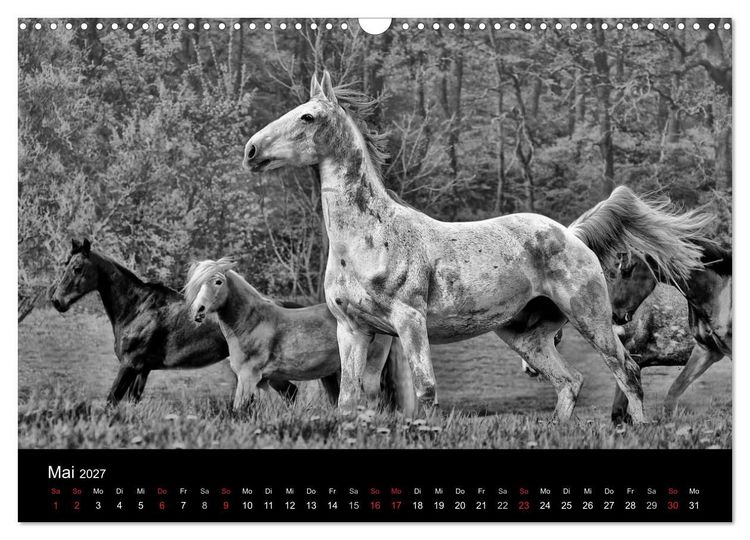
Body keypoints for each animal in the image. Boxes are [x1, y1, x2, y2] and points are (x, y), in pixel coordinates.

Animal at [48, 239, 300, 404]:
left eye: (77, 268)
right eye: (66, 264)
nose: (57, 301)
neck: (138, 309)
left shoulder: (129, 365)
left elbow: (112, 400)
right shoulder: (142, 370)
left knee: (291, 393)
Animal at [183, 257, 416, 413]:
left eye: (218, 281)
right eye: (197, 284)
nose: (199, 311)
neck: (252, 323)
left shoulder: (248, 377)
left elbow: (239, 410)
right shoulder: (265, 381)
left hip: (370, 369)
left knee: (372, 399)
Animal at [242, 70, 713, 423]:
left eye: (307, 117)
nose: (250, 151)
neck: (367, 240)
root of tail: (572, 234)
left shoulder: (410, 321)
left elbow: (426, 391)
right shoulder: (353, 329)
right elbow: (349, 399)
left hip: (591, 317)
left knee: (626, 371)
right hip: (525, 336)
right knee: (570, 381)